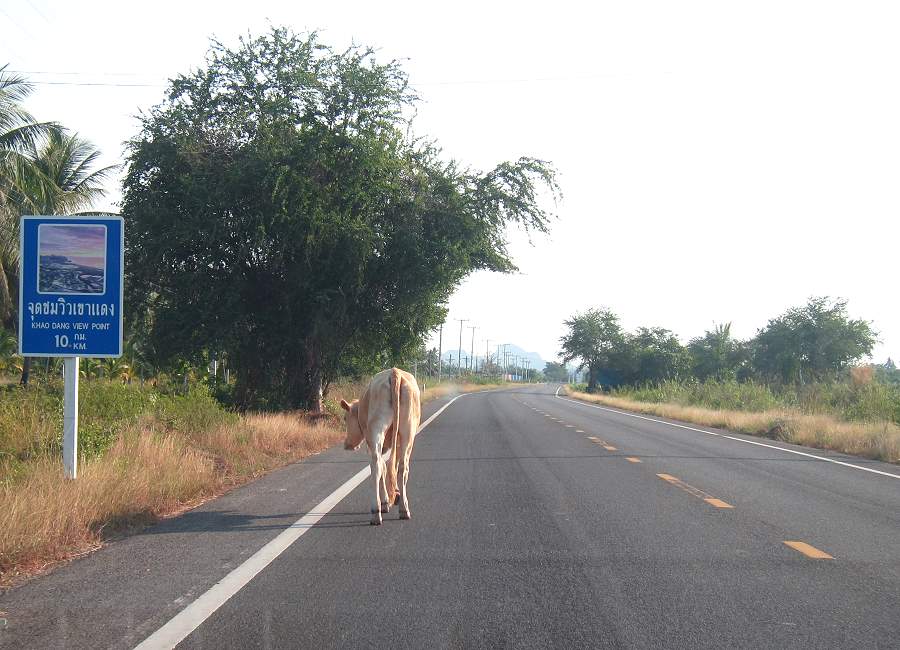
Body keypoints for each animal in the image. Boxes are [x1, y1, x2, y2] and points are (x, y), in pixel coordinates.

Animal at [341, 368, 422, 525]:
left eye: (345, 418)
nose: (347, 445)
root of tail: (394, 372)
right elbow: (391, 465)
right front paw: (396, 494)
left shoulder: (373, 444)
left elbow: (383, 467)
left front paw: (386, 500)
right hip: (408, 431)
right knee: (402, 467)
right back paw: (404, 508)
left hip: (376, 432)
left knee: (376, 465)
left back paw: (377, 510)